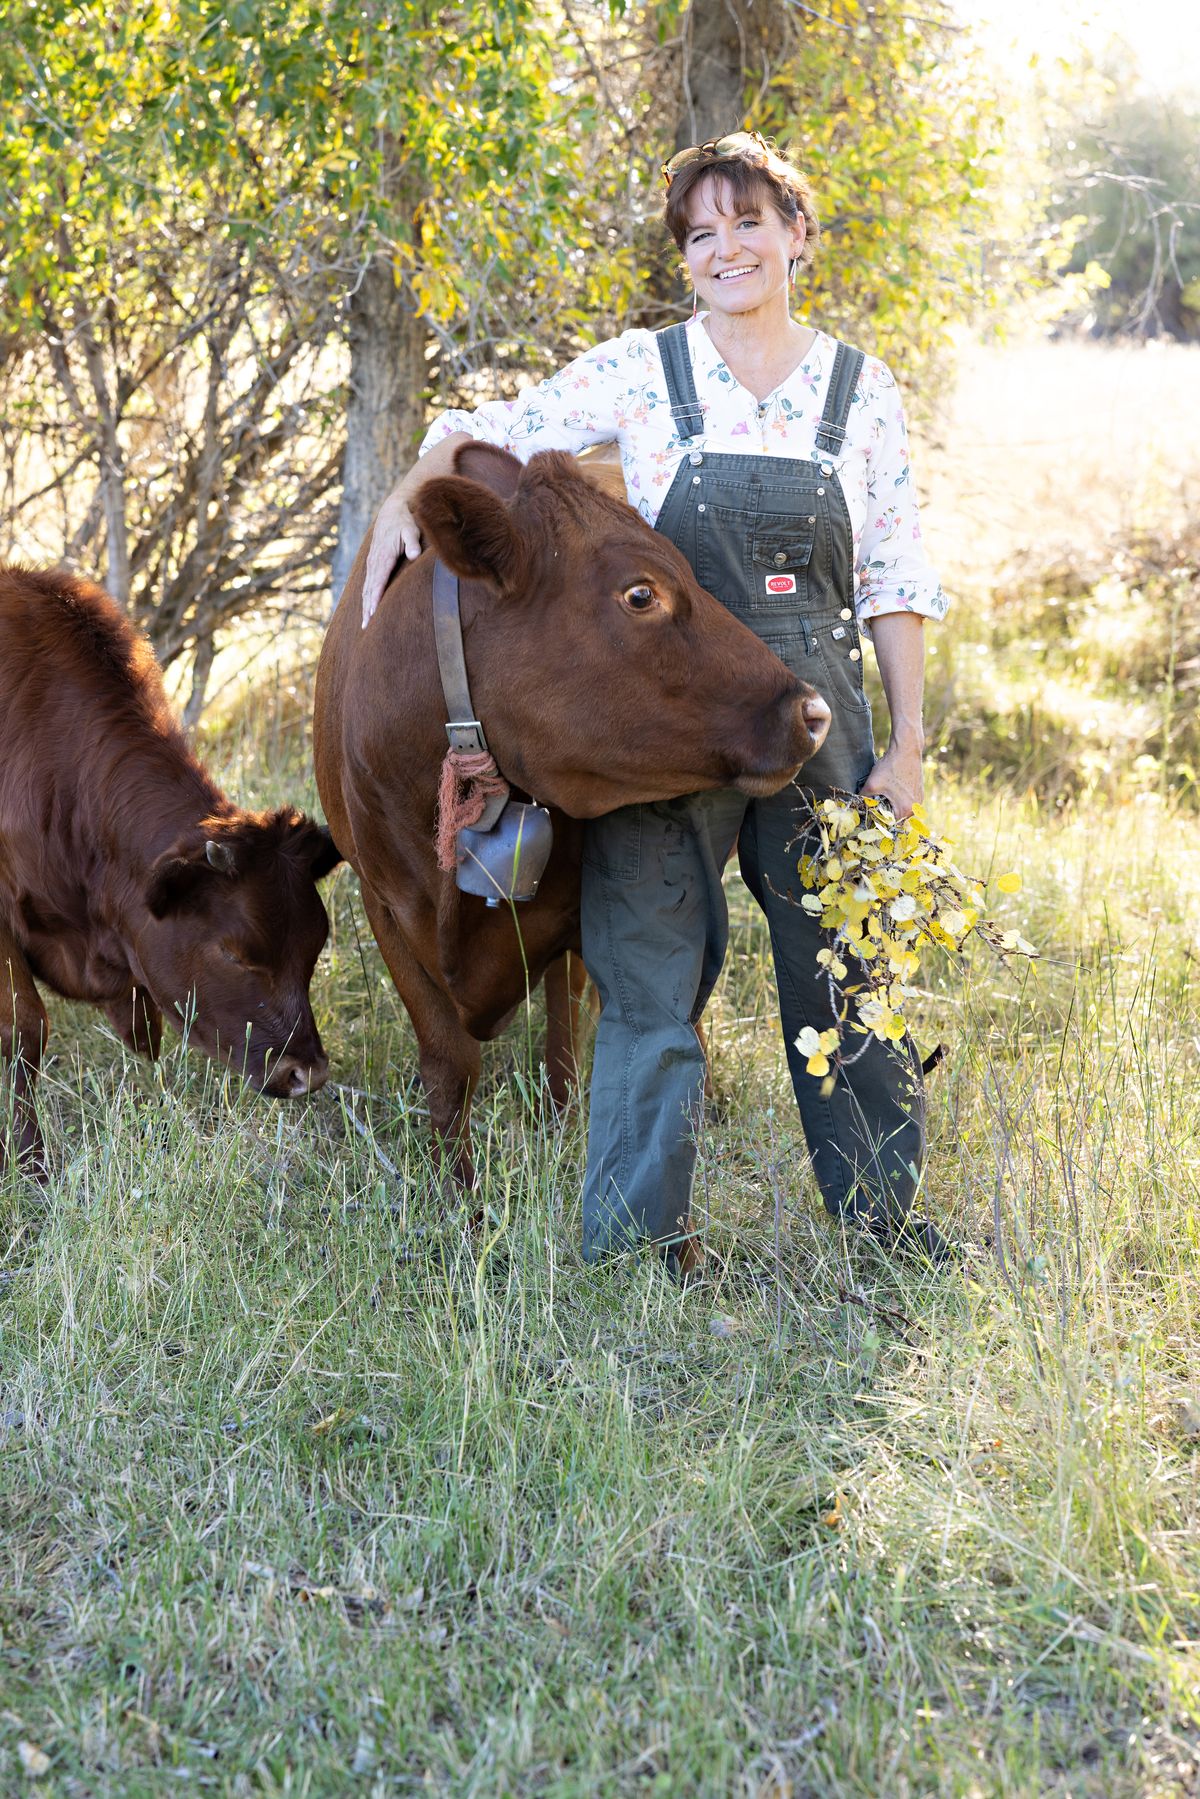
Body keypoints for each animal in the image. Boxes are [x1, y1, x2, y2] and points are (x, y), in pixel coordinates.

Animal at [0, 566, 342, 1175]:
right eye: (234, 954)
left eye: (313, 948)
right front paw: (30, 1160)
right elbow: (25, 1025)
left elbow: (146, 1032)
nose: (307, 1074)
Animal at [313, 444, 831, 1190]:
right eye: (640, 594)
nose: (812, 712)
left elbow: (584, 1031)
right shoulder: (382, 900)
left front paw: (571, 1136)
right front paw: (457, 1194)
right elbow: (449, 1062)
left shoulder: (587, 910)